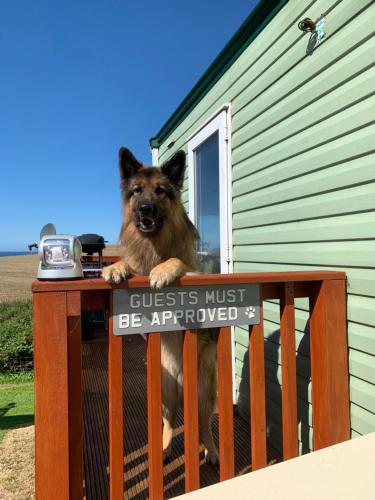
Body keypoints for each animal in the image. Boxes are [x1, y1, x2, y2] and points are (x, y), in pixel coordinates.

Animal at [103, 147, 220, 464]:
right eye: (137, 191)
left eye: (160, 191)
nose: (145, 209)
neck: (154, 244)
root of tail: (181, 380)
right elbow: (127, 265)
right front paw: (114, 268)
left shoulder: (197, 273)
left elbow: (177, 261)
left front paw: (163, 271)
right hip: (165, 391)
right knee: (168, 421)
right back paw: (165, 448)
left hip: (203, 389)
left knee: (204, 423)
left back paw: (212, 450)